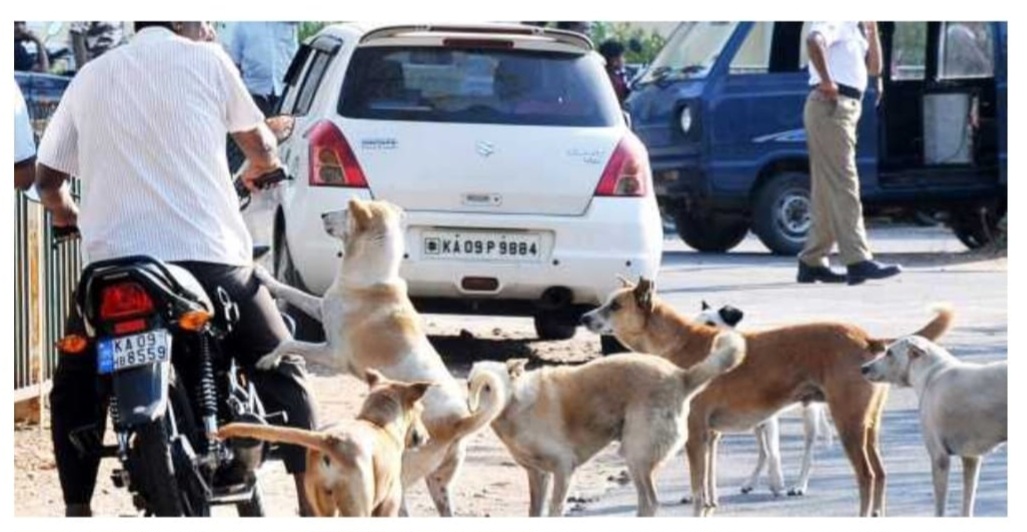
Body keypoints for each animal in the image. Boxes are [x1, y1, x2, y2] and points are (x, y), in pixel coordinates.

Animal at [216, 371, 429, 517]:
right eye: (421, 410)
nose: (426, 437)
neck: (377, 424)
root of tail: (330, 440)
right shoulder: (389, 503)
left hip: (322, 505)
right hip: (356, 508)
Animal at [468, 332, 747, 517]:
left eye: (489, 387)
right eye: (471, 384)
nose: (473, 409)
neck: (518, 401)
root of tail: (681, 376)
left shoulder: (563, 468)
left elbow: (555, 510)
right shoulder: (538, 474)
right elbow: (534, 512)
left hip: (635, 455)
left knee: (651, 503)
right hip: (638, 459)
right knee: (646, 503)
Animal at [694, 301, 838, 499]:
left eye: (710, 324)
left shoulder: (769, 420)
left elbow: (774, 453)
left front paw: (778, 484)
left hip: (809, 414)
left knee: (806, 451)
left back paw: (799, 485)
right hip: (755, 424)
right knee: (762, 451)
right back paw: (751, 482)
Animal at [862, 338, 1006, 517]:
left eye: (889, 353)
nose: (863, 368)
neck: (931, 373)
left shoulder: (939, 458)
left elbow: (940, 509)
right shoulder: (971, 458)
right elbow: (967, 505)